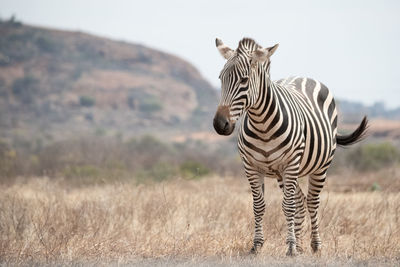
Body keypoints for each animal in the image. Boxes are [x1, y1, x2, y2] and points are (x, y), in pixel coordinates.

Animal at [214, 38, 368, 258]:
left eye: (244, 80)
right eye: (221, 78)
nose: (219, 124)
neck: (262, 125)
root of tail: (302, 76)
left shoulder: (291, 164)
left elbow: (287, 206)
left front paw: (291, 247)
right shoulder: (250, 167)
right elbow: (258, 206)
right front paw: (257, 245)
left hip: (319, 167)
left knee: (311, 201)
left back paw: (315, 245)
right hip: (281, 173)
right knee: (301, 201)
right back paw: (302, 245)